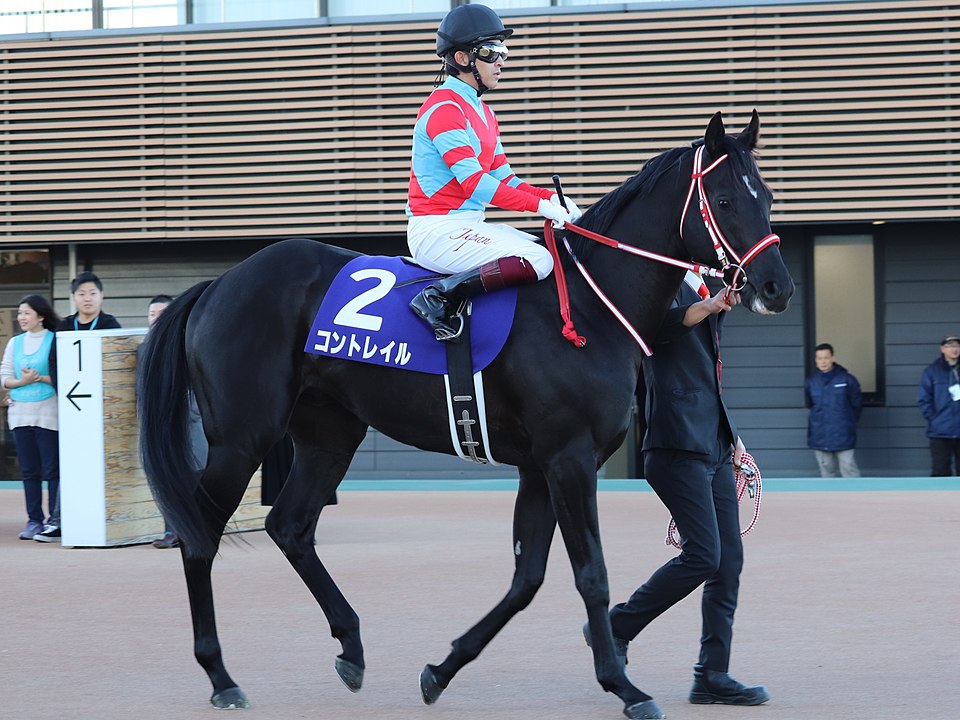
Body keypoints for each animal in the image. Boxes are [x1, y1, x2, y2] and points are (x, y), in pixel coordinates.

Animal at [138, 110, 794, 720]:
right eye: (727, 200)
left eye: (767, 197)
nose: (776, 288)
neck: (589, 306)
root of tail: (220, 281)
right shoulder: (569, 459)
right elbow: (591, 573)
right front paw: (624, 687)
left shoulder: (539, 467)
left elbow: (527, 578)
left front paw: (441, 669)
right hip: (241, 440)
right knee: (200, 535)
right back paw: (221, 676)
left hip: (330, 434)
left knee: (291, 526)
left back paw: (351, 647)